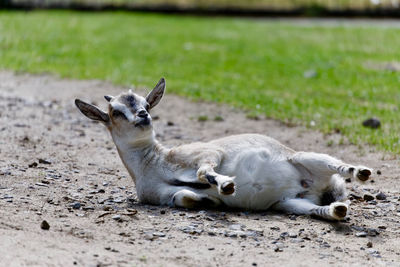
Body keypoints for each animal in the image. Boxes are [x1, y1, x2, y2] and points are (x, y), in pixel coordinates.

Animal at [75, 78, 372, 222]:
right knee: (320, 210)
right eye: (115, 111)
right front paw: (212, 199)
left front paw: (226, 186)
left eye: (146, 103)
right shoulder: (162, 195)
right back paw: (336, 210)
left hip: (305, 158)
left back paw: (362, 172)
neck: (155, 163)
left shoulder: (208, 153)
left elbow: (203, 171)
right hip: (289, 203)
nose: (143, 116)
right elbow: (183, 196)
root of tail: (318, 188)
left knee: (338, 165)